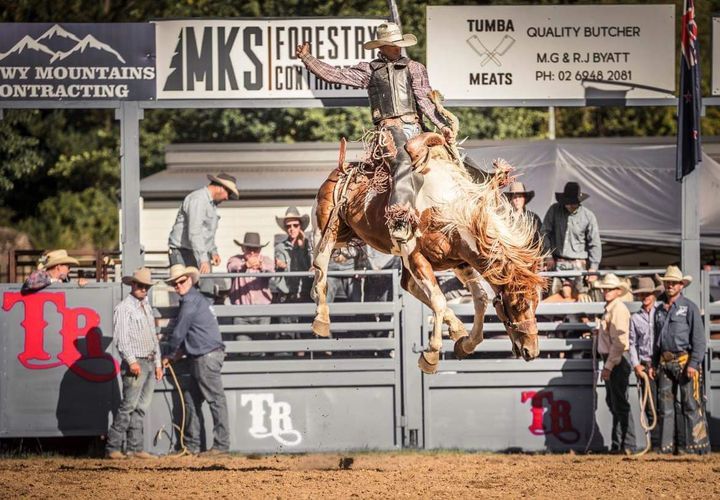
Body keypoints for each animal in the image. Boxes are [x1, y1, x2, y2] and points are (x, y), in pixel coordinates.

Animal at [310, 97, 544, 374]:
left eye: (536, 302)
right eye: (516, 304)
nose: (531, 351)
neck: (446, 208)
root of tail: (342, 169)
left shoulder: (459, 260)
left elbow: (478, 298)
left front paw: (465, 343)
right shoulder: (415, 257)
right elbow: (439, 301)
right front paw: (430, 357)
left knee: (409, 286)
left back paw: (457, 329)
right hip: (328, 227)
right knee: (320, 263)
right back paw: (321, 317)